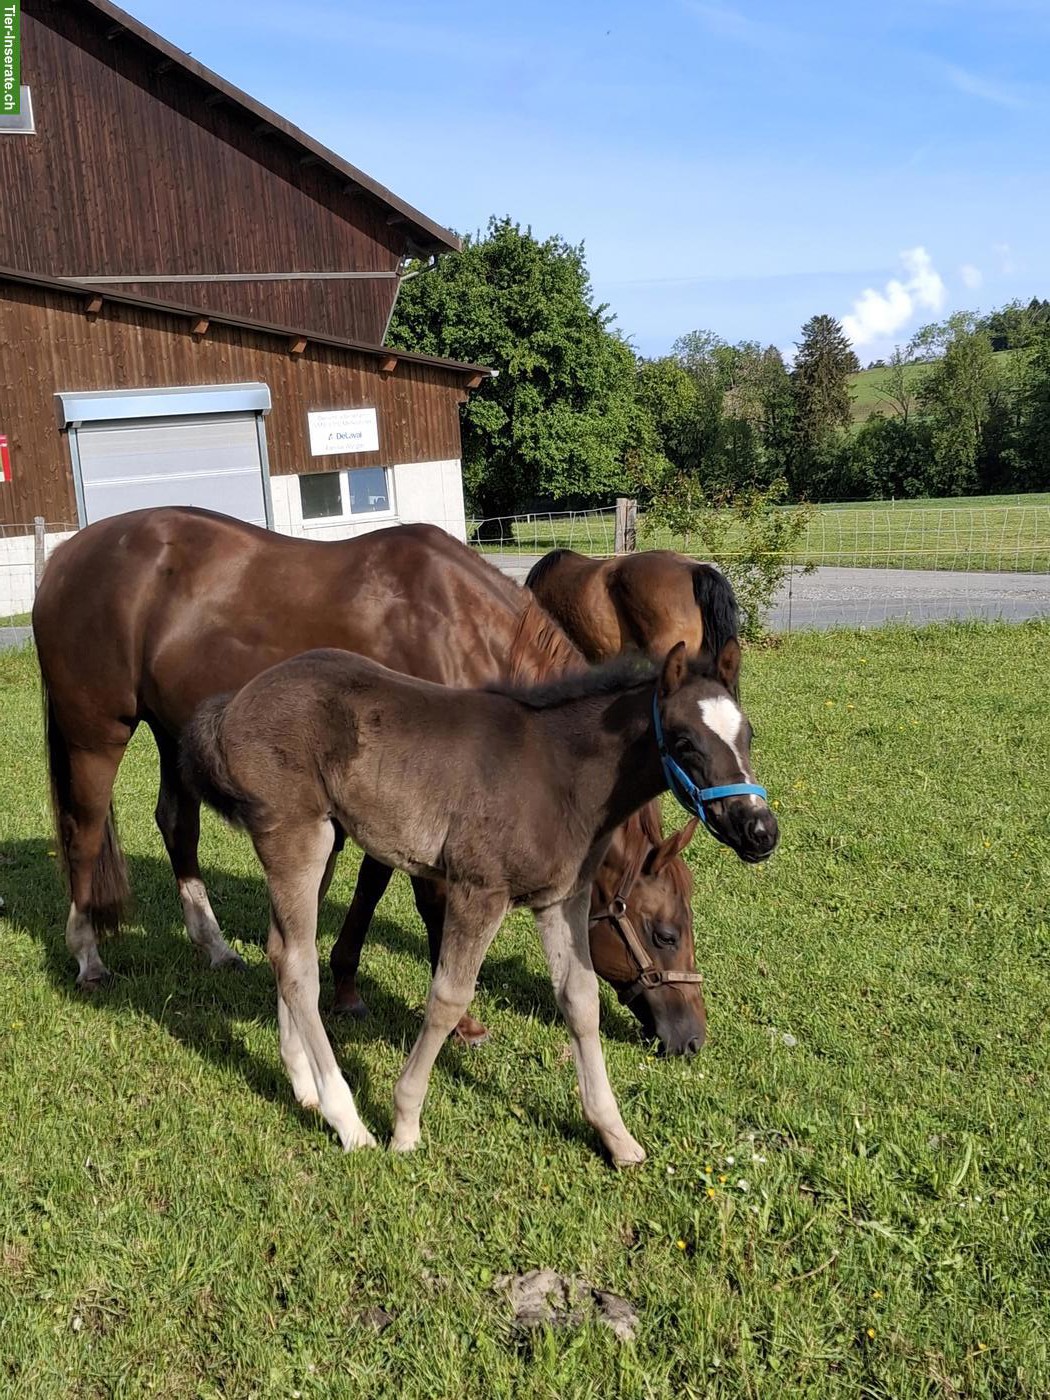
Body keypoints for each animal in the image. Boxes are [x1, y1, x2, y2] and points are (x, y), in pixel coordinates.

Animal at [180, 640, 778, 1163]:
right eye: (685, 742)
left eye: (748, 734)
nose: (760, 830)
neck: (560, 774)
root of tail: (233, 704)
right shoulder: (479, 890)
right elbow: (448, 997)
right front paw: (405, 1123)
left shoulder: (562, 900)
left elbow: (581, 1001)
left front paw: (616, 1136)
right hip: (297, 836)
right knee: (300, 966)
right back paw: (348, 1122)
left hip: (320, 839)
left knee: (283, 949)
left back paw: (304, 1087)